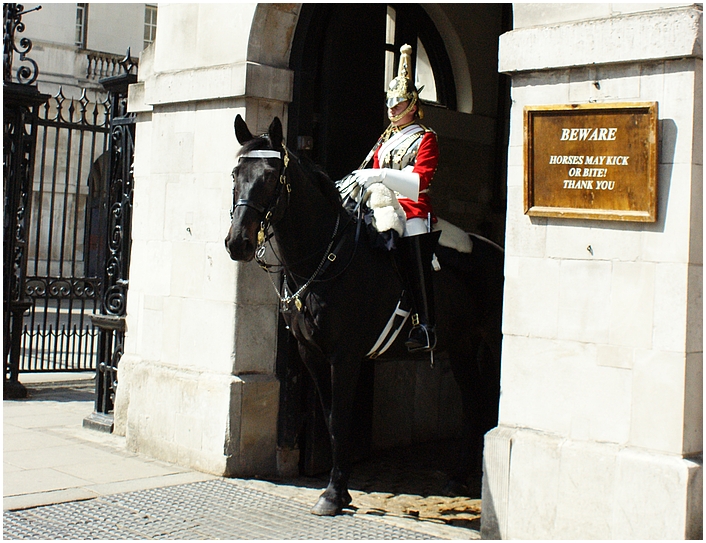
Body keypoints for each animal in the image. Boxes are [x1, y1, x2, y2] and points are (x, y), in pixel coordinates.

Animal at [223, 116, 504, 520]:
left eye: (272, 176)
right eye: (236, 174)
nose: (238, 243)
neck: (325, 258)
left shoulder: (345, 356)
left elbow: (341, 419)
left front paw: (333, 494)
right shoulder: (311, 355)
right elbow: (330, 419)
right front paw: (339, 490)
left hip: (492, 345)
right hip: (462, 346)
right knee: (473, 403)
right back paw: (457, 478)